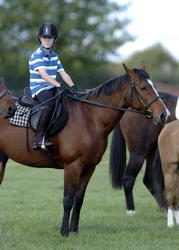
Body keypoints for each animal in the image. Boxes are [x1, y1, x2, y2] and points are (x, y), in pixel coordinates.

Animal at [0, 64, 169, 236]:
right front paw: (64, 231)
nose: (164, 114)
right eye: (143, 87)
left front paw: (74, 230)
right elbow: (68, 199)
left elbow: (79, 199)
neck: (89, 118)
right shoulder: (72, 166)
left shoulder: (89, 167)